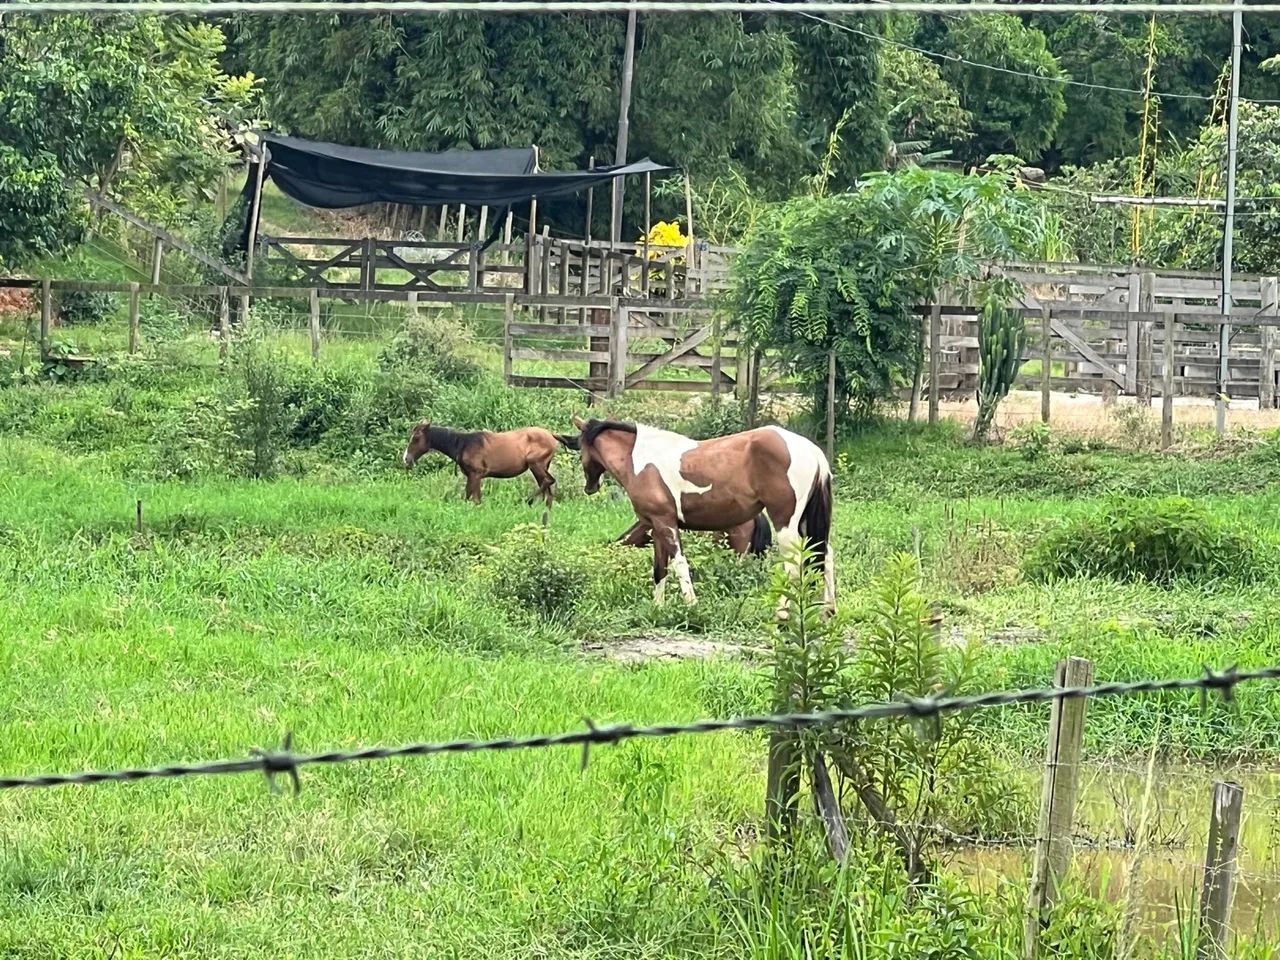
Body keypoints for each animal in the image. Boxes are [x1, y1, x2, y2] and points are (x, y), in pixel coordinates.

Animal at [402, 421, 577, 505]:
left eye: (416, 438)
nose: (406, 458)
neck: (463, 444)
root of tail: (552, 435)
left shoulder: (475, 474)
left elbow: (470, 497)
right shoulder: (474, 476)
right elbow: (474, 497)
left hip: (536, 464)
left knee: (548, 481)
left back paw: (527, 500)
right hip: (541, 466)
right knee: (548, 488)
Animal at [569, 416, 834, 613]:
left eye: (580, 449)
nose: (589, 487)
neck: (642, 460)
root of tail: (813, 451)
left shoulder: (665, 523)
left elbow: (679, 564)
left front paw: (691, 605)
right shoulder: (656, 526)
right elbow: (659, 569)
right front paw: (658, 607)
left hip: (786, 523)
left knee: (795, 563)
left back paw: (782, 613)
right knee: (825, 555)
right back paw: (827, 611)